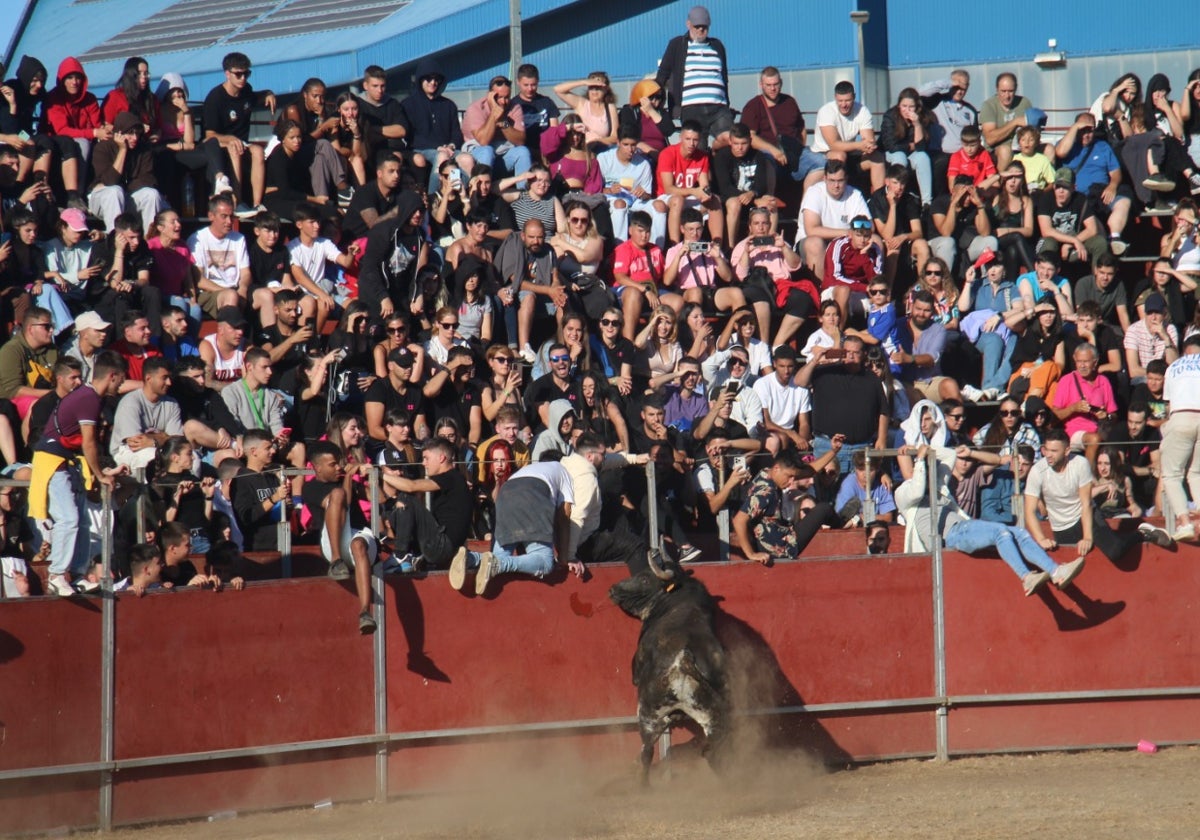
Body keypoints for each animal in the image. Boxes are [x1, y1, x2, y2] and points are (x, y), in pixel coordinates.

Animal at [609, 544, 729, 782]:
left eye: (645, 578)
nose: (613, 588)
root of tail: (684, 659)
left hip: (647, 711)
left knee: (647, 751)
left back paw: (642, 783)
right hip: (714, 720)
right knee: (714, 754)